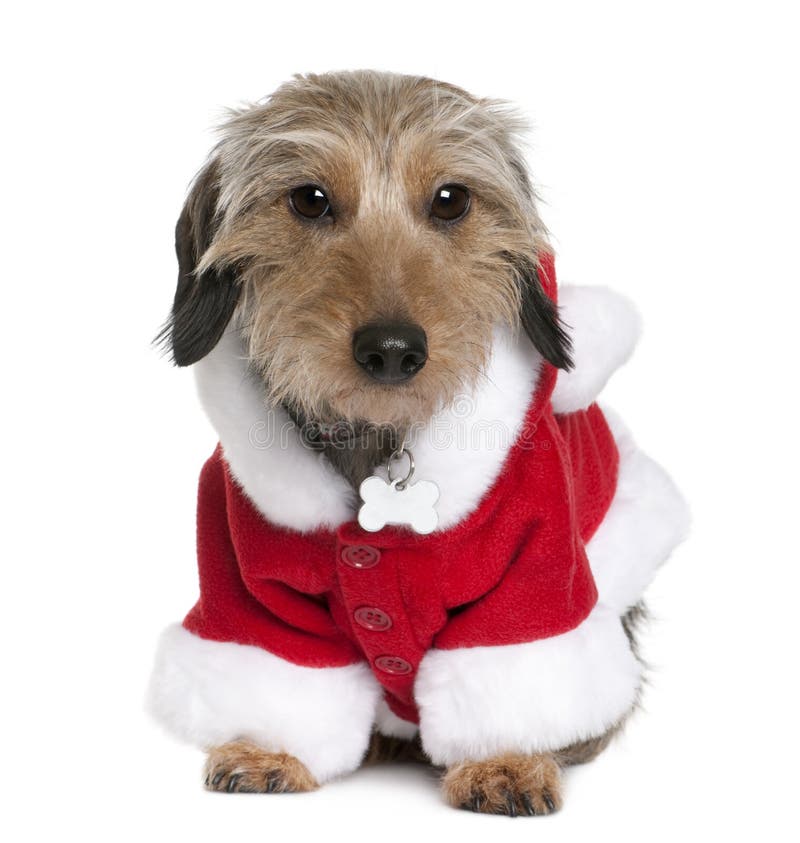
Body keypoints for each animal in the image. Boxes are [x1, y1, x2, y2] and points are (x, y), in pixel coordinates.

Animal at [148, 72, 688, 816]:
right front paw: (270, 748)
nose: (393, 350)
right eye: (309, 199)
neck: (379, 442)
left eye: (451, 199)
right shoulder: (245, 580)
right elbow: (277, 668)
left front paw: (506, 760)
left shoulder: (536, 573)